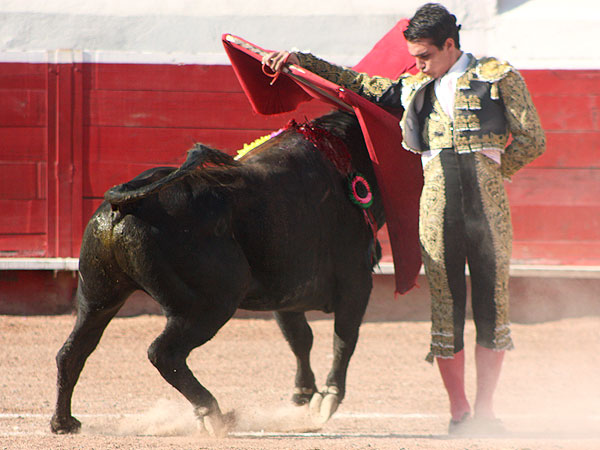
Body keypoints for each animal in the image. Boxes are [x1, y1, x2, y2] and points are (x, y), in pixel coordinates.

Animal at [51, 110, 390, 436]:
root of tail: (127, 202)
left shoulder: (286, 294)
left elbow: (300, 338)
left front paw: (303, 395)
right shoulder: (356, 283)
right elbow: (344, 337)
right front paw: (326, 400)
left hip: (98, 296)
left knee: (72, 351)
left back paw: (64, 422)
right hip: (209, 305)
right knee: (163, 353)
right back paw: (215, 416)